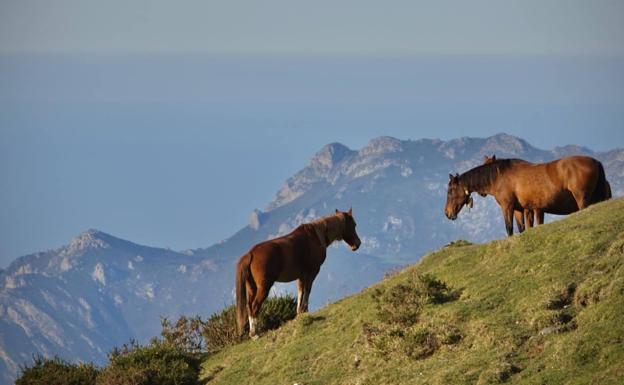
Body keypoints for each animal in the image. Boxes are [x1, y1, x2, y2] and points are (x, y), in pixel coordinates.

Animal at [235, 207, 364, 336]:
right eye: (354, 224)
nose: (357, 244)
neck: (316, 235)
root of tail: (250, 254)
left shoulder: (301, 276)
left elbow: (300, 292)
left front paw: (299, 313)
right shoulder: (312, 272)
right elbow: (307, 290)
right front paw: (305, 310)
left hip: (251, 288)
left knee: (249, 306)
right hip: (264, 287)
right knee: (255, 306)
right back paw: (255, 334)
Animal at [446, 154, 612, 236]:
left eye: (450, 191)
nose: (447, 213)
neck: (500, 176)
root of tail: (596, 162)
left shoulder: (508, 207)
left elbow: (509, 228)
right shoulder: (521, 210)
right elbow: (522, 228)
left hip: (582, 200)